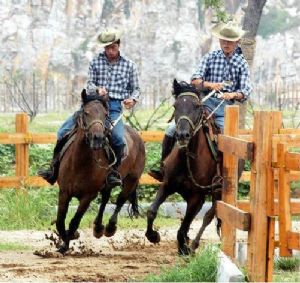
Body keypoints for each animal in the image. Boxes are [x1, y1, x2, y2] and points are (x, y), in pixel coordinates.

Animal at [56, 90, 146, 254]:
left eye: (105, 114)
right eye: (86, 112)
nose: (97, 138)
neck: (79, 162)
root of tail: (137, 136)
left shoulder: (88, 196)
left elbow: (74, 221)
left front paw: (67, 242)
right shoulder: (64, 192)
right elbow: (60, 221)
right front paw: (66, 241)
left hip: (131, 180)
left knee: (120, 200)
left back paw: (109, 227)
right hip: (107, 185)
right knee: (105, 199)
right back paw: (98, 228)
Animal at [145, 79, 223, 255]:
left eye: (197, 106)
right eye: (175, 106)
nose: (182, 135)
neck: (188, 159)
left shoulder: (197, 197)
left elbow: (184, 226)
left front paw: (184, 248)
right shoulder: (167, 185)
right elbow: (152, 211)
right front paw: (153, 236)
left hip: (218, 192)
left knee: (209, 215)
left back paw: (193, 244)